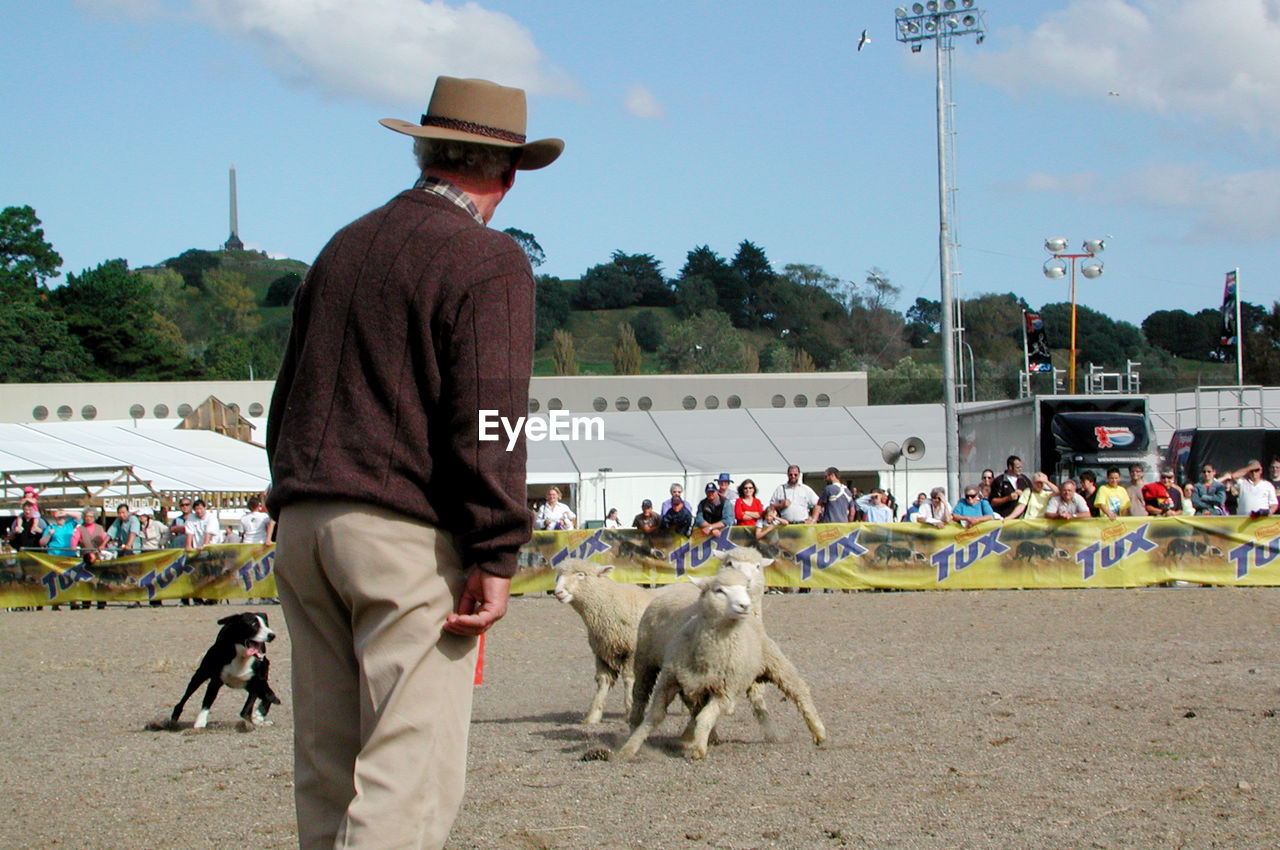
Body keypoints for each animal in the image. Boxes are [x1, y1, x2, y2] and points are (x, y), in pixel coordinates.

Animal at [552, 558, 650, 721]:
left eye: (581, 574)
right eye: (558, 576)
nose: (558, 592)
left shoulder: (632, 650)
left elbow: (629, 679)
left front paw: (630, 711)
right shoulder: (603, 651)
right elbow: (603, 681)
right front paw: (593, 716)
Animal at [622, 568, 829, 757]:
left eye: (744, 588)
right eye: (719, 590)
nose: (744, 605)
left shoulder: (724, 692)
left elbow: (705, 717)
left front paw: (698, 748)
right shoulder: (669, 680)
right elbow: (655, 715)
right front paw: (630, 747)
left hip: (773, 661)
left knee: (799, 690)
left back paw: (818, 732)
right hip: (645, 664)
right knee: (641, 696)